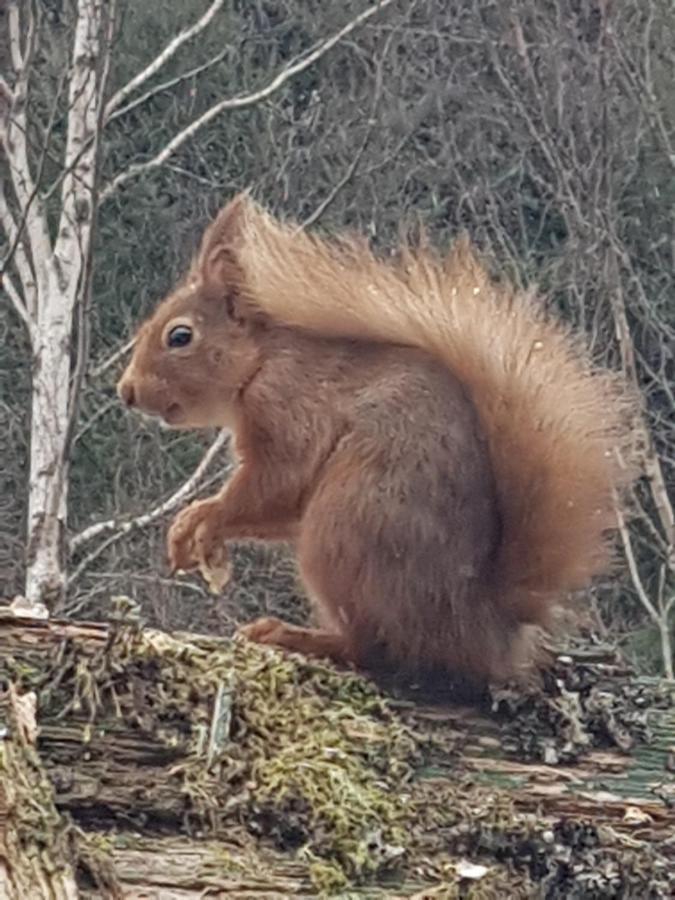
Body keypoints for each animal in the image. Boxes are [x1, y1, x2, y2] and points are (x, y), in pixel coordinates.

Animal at [119, 193, 640, 680]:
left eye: (180, 336)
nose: (126, 392)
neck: (261, 361)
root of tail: (482, 627)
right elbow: (280, 508)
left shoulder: (289, 408)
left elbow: (275, 484)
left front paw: (200, 519)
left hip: (345, 528)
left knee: (374, 650)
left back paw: (294, 635)